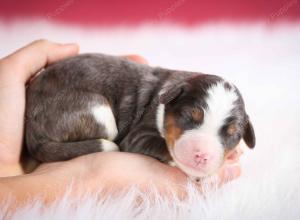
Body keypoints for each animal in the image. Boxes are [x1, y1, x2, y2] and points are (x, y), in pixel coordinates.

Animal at [25, 53, 255, 179]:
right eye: (188, 116)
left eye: (232, 134)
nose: (201, 156)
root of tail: (32, 134)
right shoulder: (137, 136)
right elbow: (161, 145)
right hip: (95, 110)